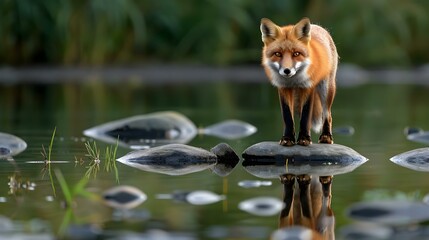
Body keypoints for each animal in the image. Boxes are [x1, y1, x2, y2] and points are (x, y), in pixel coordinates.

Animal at [260, 17, 336, 146]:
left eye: (296, 53)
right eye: (277, 54)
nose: (287, 70)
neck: (294, 80)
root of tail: (317, 26)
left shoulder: (307, 87)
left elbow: (305, 117)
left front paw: (304, 139)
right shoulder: (283, 88)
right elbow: (288, 117)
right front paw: (288, 138)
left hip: (326, 89)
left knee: (328, 115)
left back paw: (326, 137)